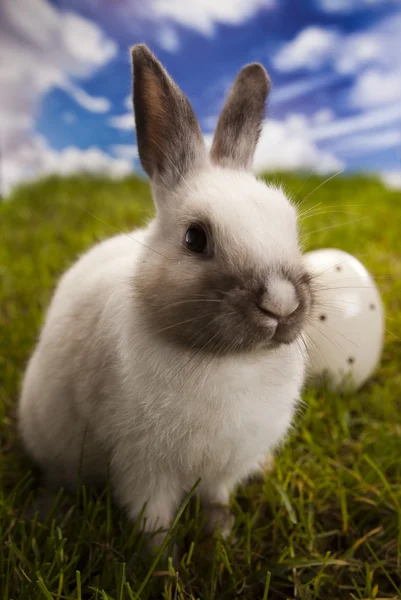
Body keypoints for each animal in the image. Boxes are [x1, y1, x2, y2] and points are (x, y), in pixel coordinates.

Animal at [18, 44, 312, 548]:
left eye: (290, 226)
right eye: (195, 238)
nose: (281, 305)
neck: (229, 361)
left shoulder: (223, 468)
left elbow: (217, 501)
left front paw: (221, 540)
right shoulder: (142, 469)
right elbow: (153, 522)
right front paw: (161, 561)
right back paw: (45, 511)